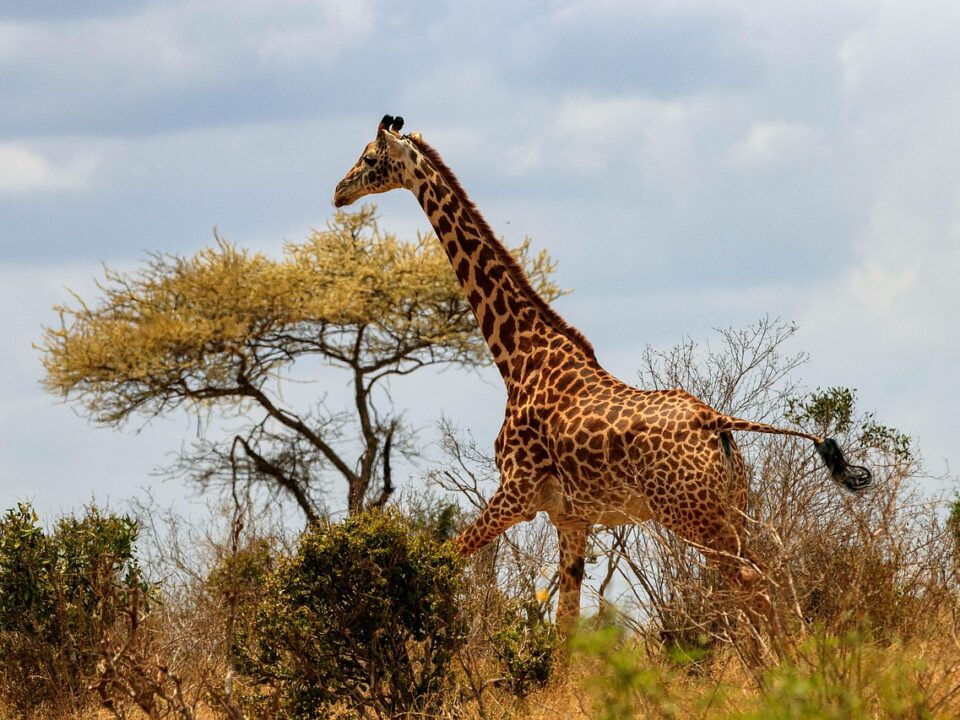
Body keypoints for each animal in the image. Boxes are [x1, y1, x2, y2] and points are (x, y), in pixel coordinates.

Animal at [333, 115, 871, 635]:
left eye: (370, 158)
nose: (338, 191)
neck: (519, 357)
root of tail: (716, 421)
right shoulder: (571, 518)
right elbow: (565, 625)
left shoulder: (516, 493)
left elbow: (441, 559)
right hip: (731, 506)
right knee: (759, 580)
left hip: (691, 513)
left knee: (752, 584)